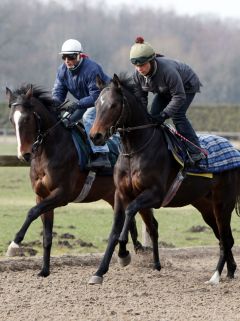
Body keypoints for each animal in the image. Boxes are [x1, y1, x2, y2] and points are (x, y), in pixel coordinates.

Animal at [5, 84, 144, 276]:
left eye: (26, 119)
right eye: (12, 119)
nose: (24, 155)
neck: (50, 151)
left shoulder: (61, 195)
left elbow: (32, 212)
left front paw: (14, 244)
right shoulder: (42, 196)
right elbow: (46, 235)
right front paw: (44, 271)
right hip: (113, 195)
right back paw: (126, 253)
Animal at [89, 74, 240, 284]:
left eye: (113, 105)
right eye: (96, 103)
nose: (95, 136)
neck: (134, 151)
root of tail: (234, 149)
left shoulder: (154, 194)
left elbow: (129, 213)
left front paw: (124, 253)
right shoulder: (121, 193)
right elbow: (114, 231)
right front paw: (99, 272)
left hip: (223, 203)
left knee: (225, 238)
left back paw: (215, 276)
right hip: (206, 206)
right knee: (224, 238)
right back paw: (230, 270)